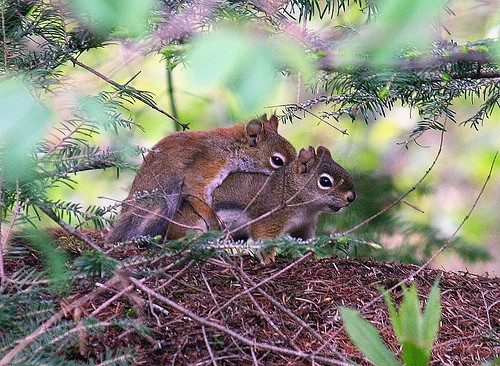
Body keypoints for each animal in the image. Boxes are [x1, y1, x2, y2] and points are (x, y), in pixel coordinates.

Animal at [105, 114, 296, 244]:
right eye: (277, 160)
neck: (230, 147)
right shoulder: (208, 164)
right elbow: (196, 192)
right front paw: (214, 222)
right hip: (157, 208)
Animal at [171, 146, 356, 264]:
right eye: (325, 181)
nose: (352, 197)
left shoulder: (305, 225)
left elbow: (305, 242)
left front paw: (310, 256)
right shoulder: (270, 218)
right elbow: (264, 239)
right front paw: (268, 260)